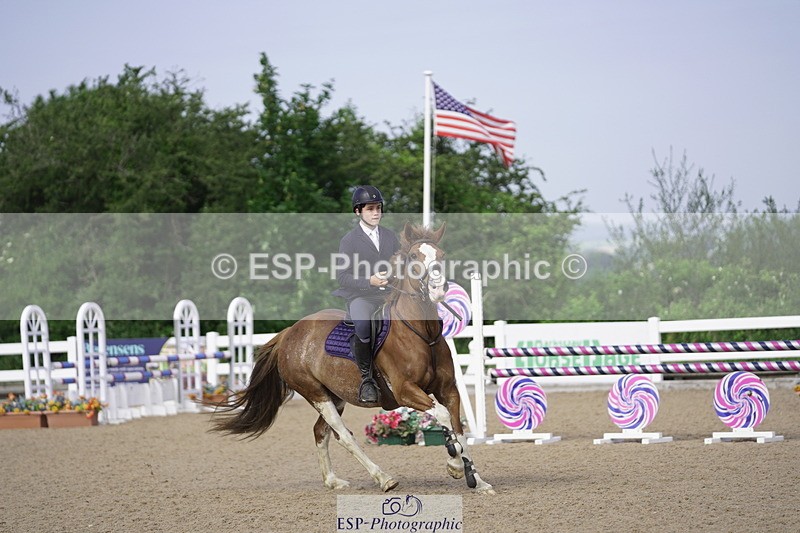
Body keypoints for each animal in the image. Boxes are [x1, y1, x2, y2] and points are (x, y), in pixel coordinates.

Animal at [212, 221, 494, 494]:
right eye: (414, 256)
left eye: (441, 255)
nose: (437, 289)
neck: (422, 333)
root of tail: (289, 333)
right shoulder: (406, 391)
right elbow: (444, 416)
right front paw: (455, 464)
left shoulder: (448, 389)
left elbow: (458, 427)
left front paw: (477, 480)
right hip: (316, 394)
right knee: (343, 435)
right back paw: (383, 478)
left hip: (335, 395)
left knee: (320, 431)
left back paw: (332, 480)